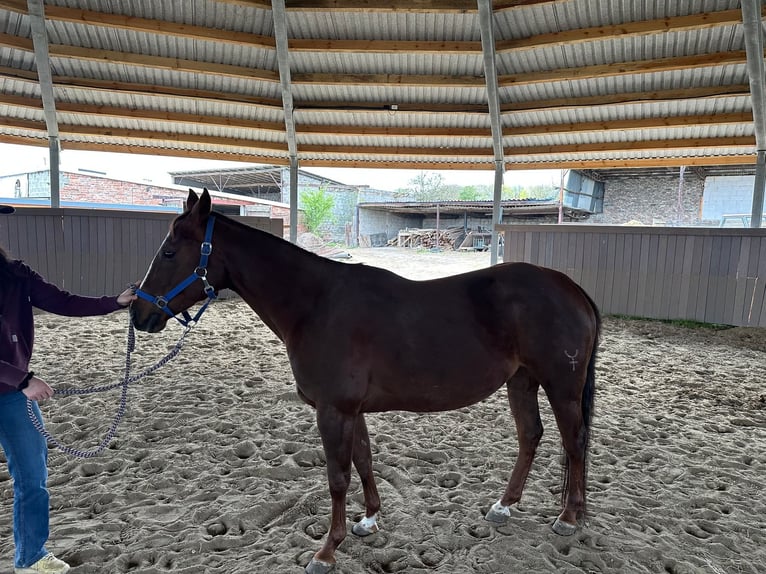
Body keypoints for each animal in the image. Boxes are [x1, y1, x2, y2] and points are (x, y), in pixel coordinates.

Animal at [131, 189, 601, 574]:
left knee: (574, 442)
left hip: (561, 387)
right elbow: (364, 460)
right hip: (522, 381)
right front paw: (369, 519)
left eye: (169, 251)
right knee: (531, 436)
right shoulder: (351, 410)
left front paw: (326, 552)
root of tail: (571, 288)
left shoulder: (333, 410)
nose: (138, 313)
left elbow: (337, 477)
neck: (316, 304)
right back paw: (504, 507)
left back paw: (568, 518)